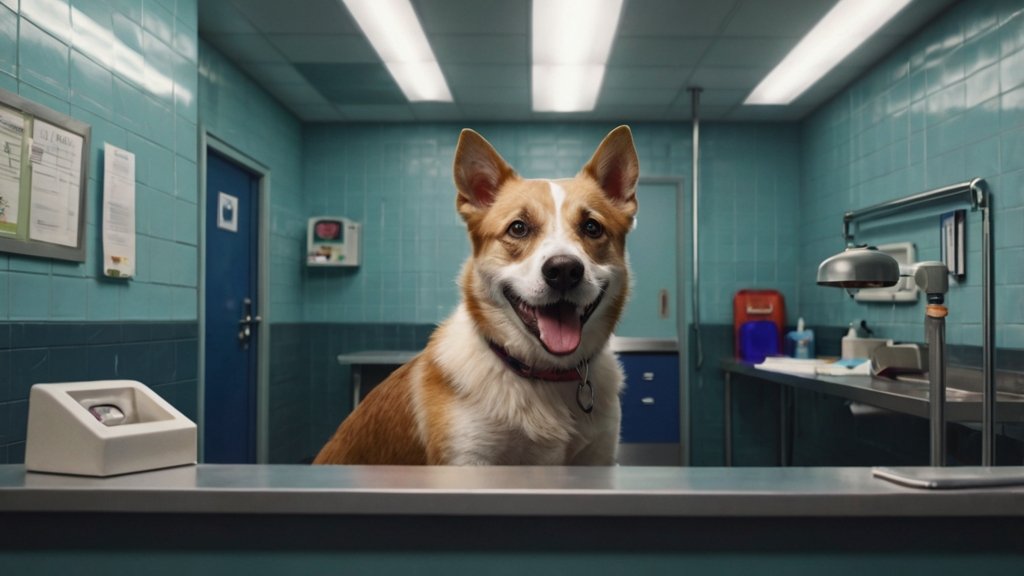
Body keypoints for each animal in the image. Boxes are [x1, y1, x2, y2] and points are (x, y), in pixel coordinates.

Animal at [311, 124, 634, 461]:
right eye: (518, 228)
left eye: (592, 228)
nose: (563, 271)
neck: (544, 376)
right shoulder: (467, 457)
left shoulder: (598, 456)